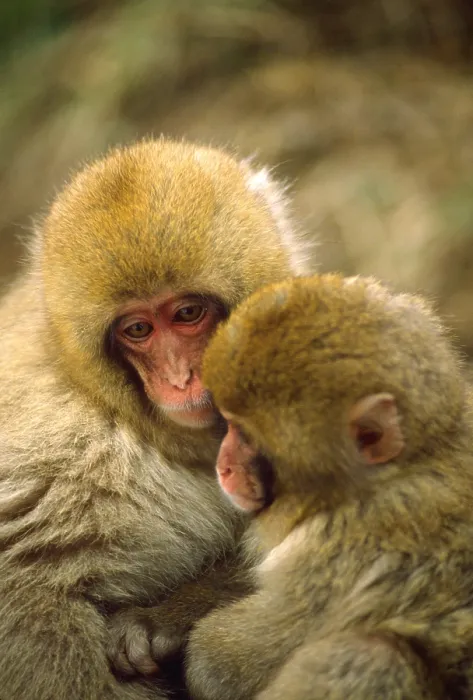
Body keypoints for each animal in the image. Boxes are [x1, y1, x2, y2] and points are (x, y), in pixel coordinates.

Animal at [0, 137, 311, 700]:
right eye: (138, 329)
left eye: (187, 314)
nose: (179, 377)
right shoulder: (71, 448)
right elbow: (27, 588)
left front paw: (163, 622)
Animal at [180, 273, 473, 700]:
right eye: (228, 423)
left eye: (246, 435)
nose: (225, 465)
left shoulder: (335, 551)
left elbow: (221, 663)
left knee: (371, 657)